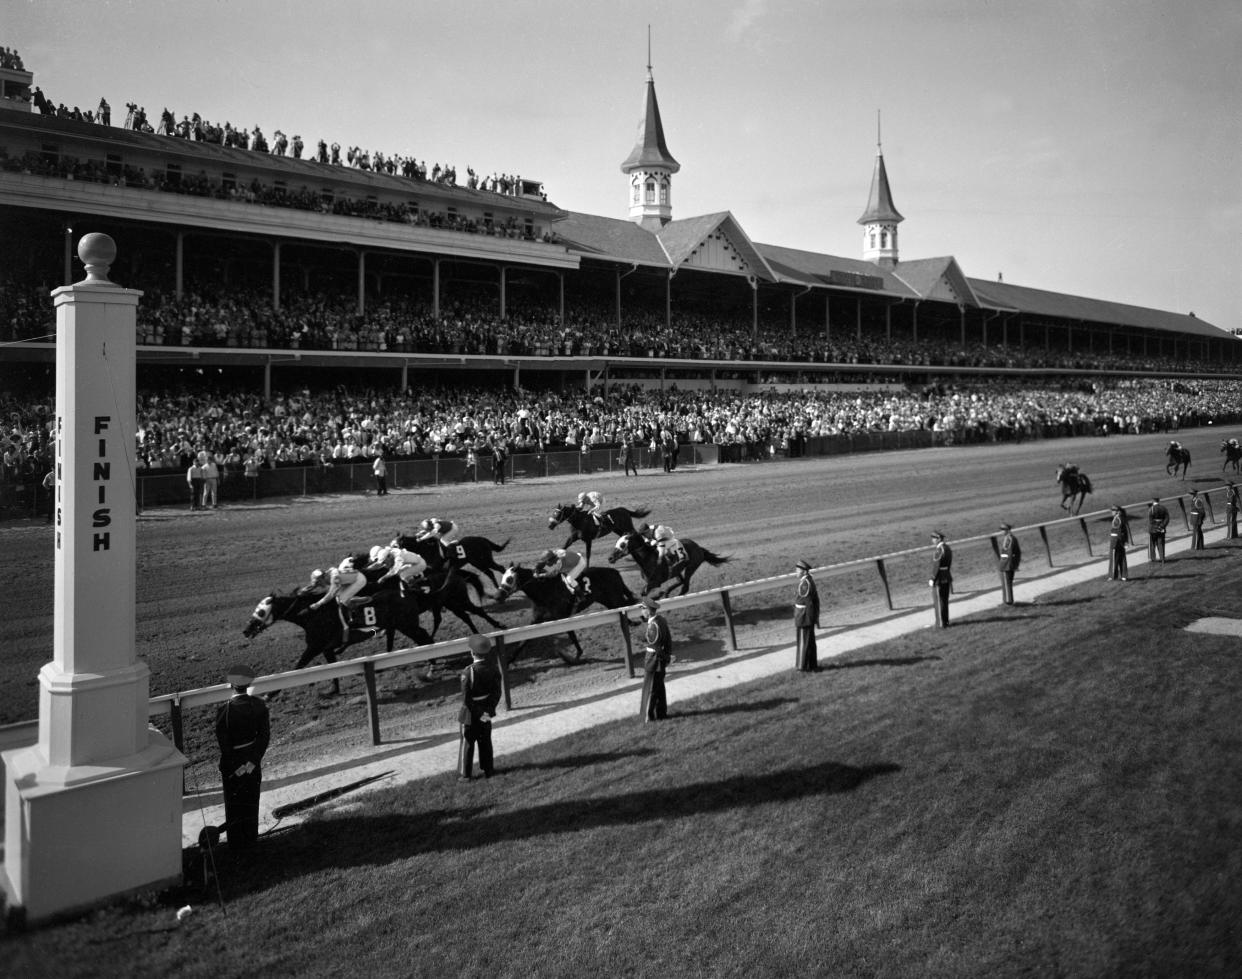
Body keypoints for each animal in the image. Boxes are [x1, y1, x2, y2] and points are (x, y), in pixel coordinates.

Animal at [489, 561, 635, 660]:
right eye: (502, 578)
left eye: (509, 579)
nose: (497, 596)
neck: (544, 591)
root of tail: (615, 572)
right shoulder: (536, 620)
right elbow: (523, 641)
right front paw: (509, 661)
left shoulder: (562, 617)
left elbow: (571, 634)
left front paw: (577, 654)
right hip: (609, 602)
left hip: (616, 599)